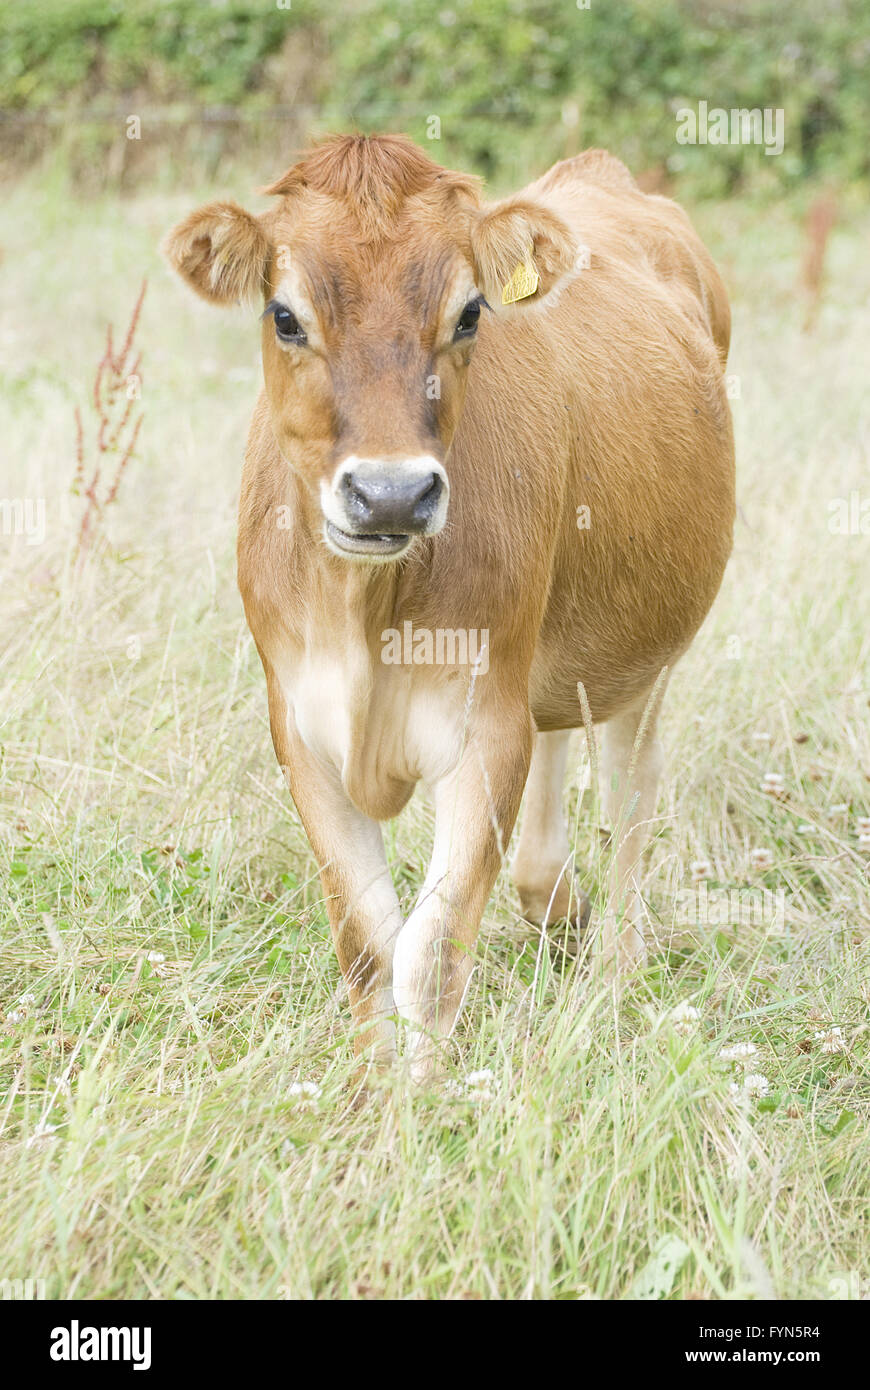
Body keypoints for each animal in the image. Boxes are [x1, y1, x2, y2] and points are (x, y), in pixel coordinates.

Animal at [164, 134, 735, 1081]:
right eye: (284, 316)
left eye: (469, 314)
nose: (390, 495)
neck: (365, 611)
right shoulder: (301, 731)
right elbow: (367, 943)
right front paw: (375, 1093)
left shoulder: (483, 727)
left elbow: (428, 955)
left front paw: (424, 1106)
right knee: (551, 791)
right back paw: (560, 913)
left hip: (650, 648)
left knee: (630, 789)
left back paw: (614, 971)